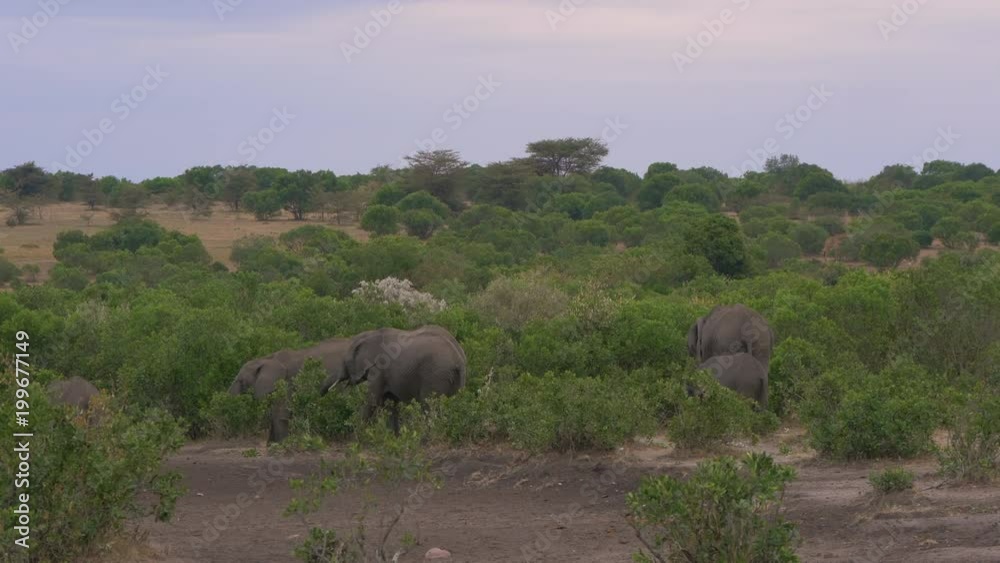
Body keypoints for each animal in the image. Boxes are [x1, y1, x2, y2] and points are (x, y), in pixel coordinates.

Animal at [320, 325, 467, 435]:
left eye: (345, 361)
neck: (369, 335)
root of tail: (458, 360)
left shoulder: (379, 368)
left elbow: (373, 400)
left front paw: (357, 435)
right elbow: (391, 404)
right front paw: (395, 437)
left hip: (435, 375)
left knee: (429, 406)